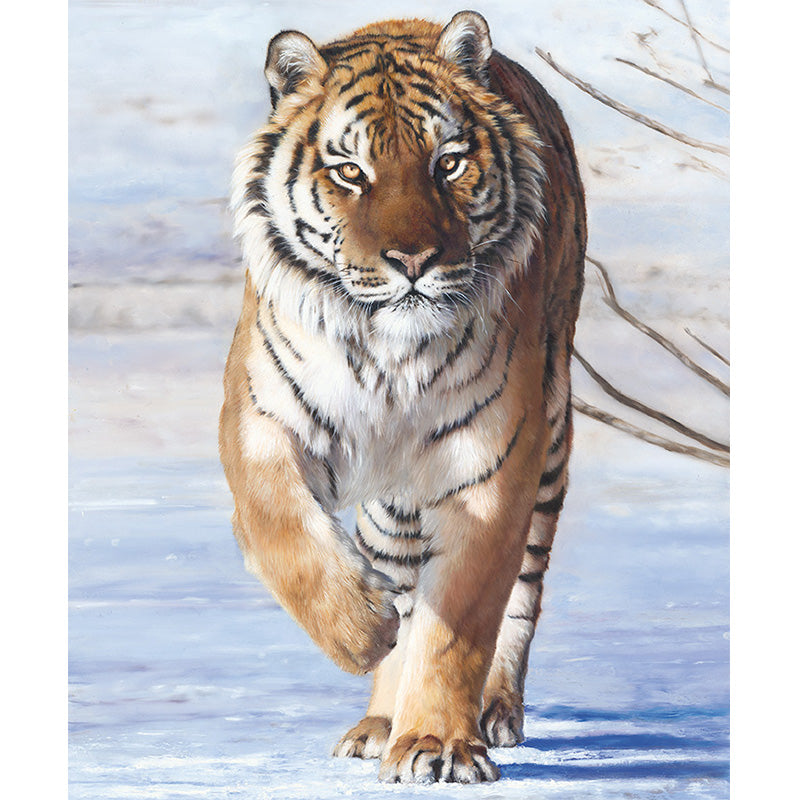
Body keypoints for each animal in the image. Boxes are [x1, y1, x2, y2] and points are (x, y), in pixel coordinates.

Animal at [219, 10, 586, 784]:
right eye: (351, 172)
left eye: (447, 162)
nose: (413, 260)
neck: (389, 355)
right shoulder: (260, 422)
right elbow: (283, 535)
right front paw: (362, 631)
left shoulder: (491, 468)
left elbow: (459, 625)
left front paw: (439, 744)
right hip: (394, 508)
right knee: (401, 579)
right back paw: (378, 719)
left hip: (549, 444)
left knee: (520, 597)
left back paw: (490, 713)